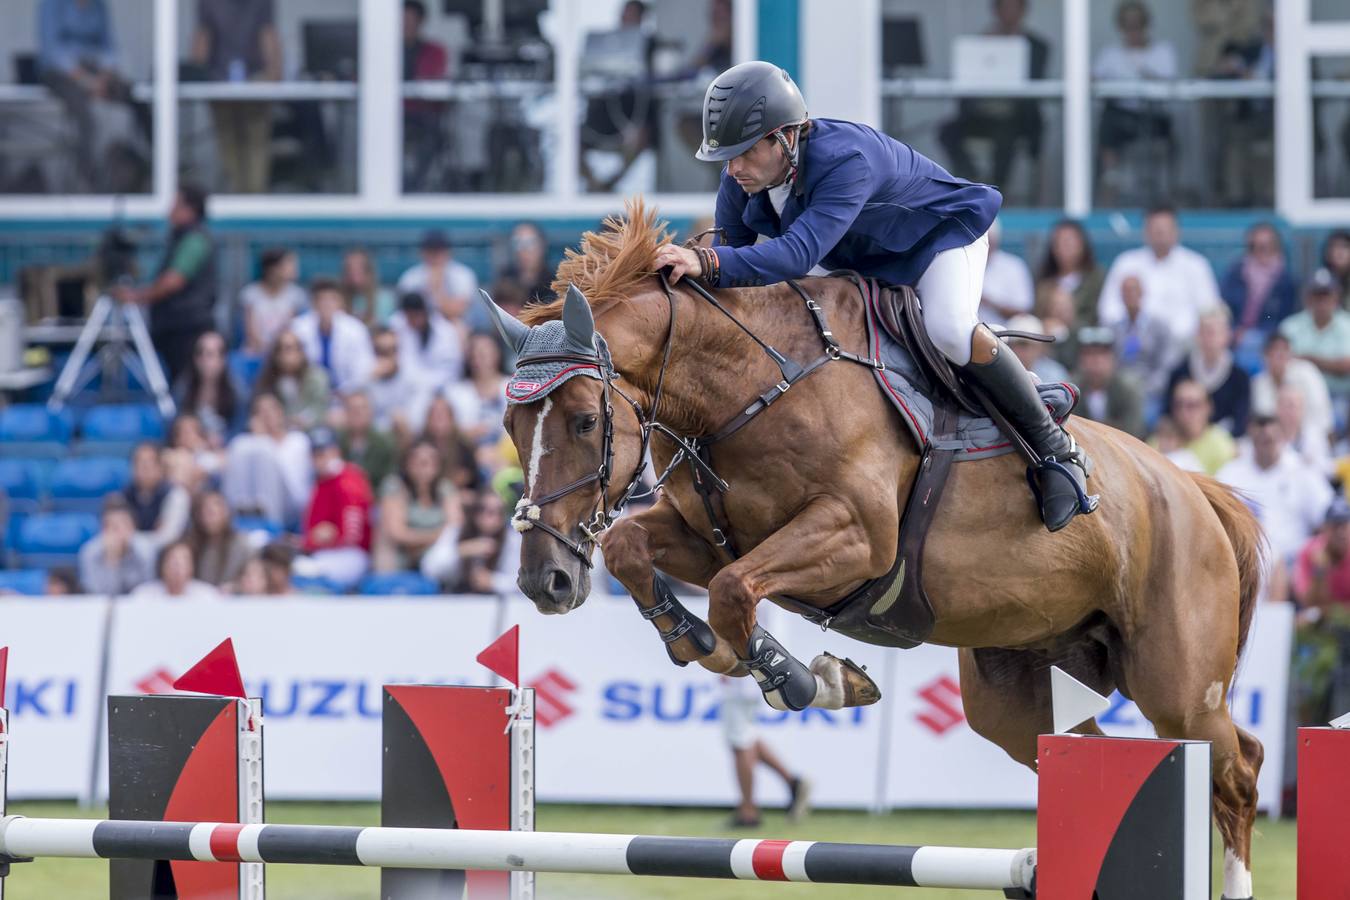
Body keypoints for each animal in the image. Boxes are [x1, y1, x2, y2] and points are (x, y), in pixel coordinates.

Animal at [486, 203, 1263, 900]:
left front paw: (804, 679)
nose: (544, 582)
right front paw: (701, 644)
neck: (749, 386)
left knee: (1237, 769)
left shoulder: (855, 535)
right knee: (1087, 751)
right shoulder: (707, 536)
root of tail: (1193, 490)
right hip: (1020, 687)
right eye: (510, 427)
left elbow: (736, 591)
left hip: (1178, 688)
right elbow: (633, 548)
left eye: (585, 422)